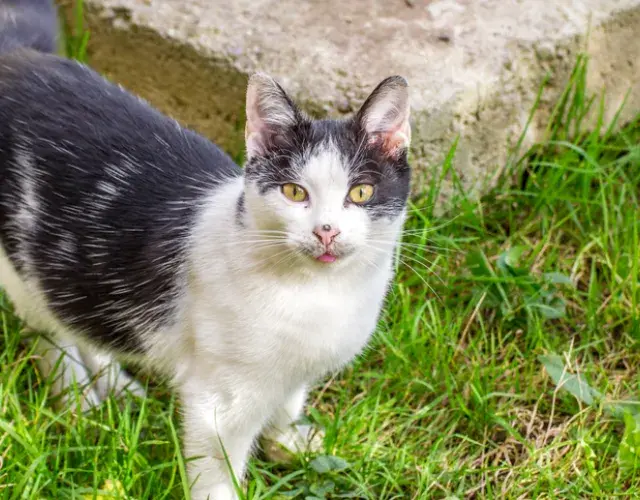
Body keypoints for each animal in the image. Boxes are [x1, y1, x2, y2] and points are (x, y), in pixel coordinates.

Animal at [0, 0, 410, 496]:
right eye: (294, 192)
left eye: (361, 193)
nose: (326, 231)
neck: (320, 294)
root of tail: (18, 54)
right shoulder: (219, 403)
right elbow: (217, 472)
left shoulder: (296, 373)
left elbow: (289, 402)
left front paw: (288, 441)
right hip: (21, 260)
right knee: (48, 330)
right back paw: (80, 403)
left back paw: (115, 386)